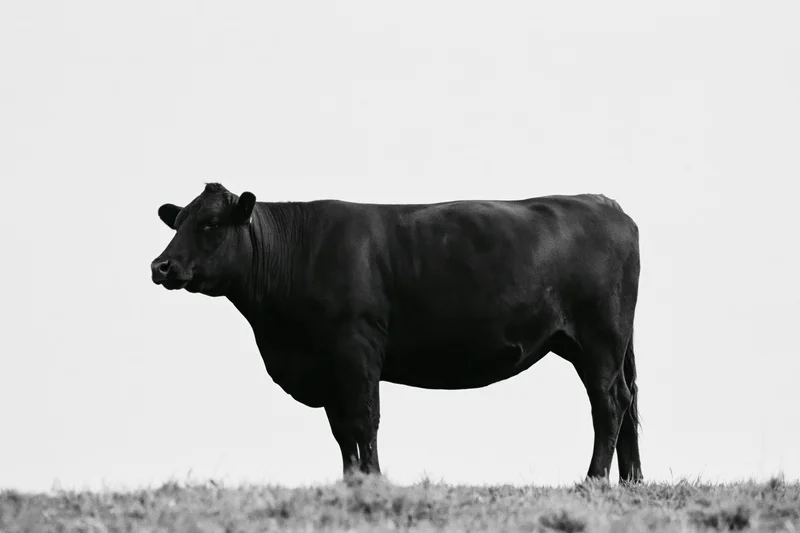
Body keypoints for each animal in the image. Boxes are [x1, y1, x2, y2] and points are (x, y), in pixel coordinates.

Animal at [150, 182, 642, 483]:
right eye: (178, 222)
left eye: (211, 224)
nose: (161, 266)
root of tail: (601, 202)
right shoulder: (327, 366)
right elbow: (341, 429)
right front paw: (351, 483)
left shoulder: (357, 349)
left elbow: (364, 420)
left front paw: (373, 480)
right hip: (600, 344)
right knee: (628, 400)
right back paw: (632, 481)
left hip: (598, 340)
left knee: (608, 403)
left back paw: (593, 480)